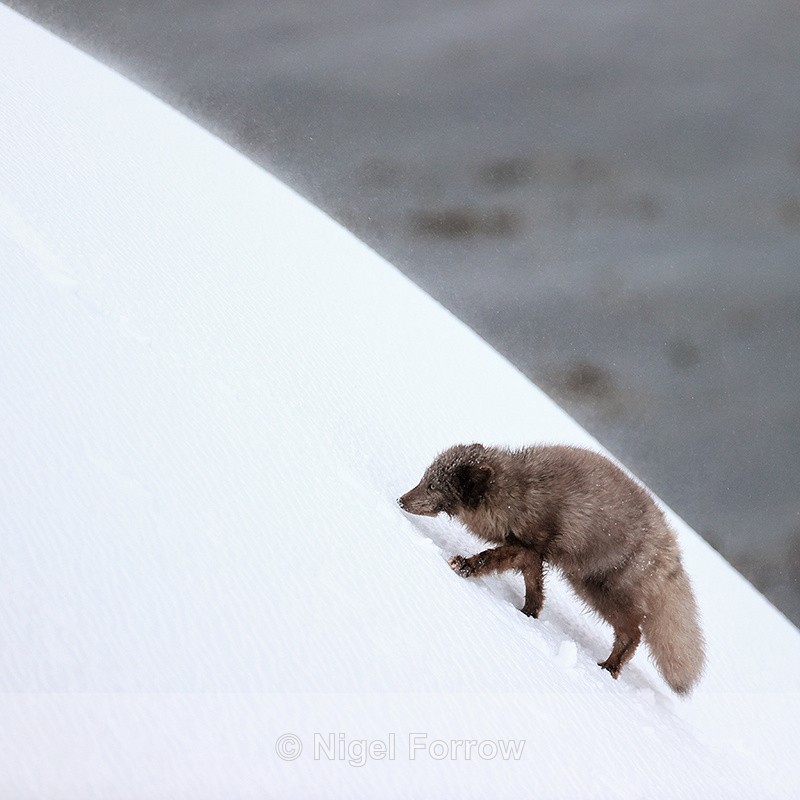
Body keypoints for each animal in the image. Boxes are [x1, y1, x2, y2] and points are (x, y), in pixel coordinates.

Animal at [398, 443, 705, 695]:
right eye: (425, 479)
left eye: (433, 487)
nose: (400, 500)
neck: (519, 491)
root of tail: (670, 548)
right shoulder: (533, 554)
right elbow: (535, 587)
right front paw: (528, 614)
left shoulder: (527, 546)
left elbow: (491, 559)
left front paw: (464, 566)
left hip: (597, 589)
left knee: (634, 634)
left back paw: (608, 668)